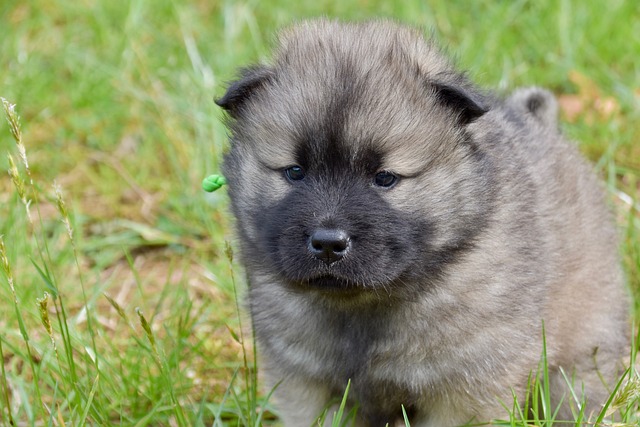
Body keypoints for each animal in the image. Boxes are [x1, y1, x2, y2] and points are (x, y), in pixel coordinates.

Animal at [218, 20, 628, 427]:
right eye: (295, 172)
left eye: (385, 178)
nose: (329, 243)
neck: (363, 306)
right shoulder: (305, 383)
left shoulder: (464, 392)